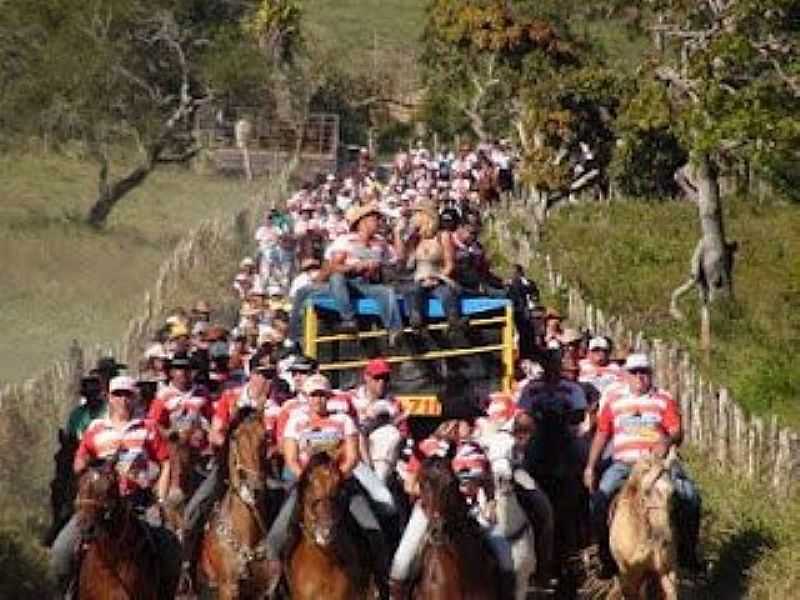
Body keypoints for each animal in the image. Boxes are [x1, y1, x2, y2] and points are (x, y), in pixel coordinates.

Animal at [608, 454, 680, 600]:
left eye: (673, 493)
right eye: (646, 492)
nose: (665, 539)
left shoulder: (667, 569)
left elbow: (671, 592)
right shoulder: (629, 573)